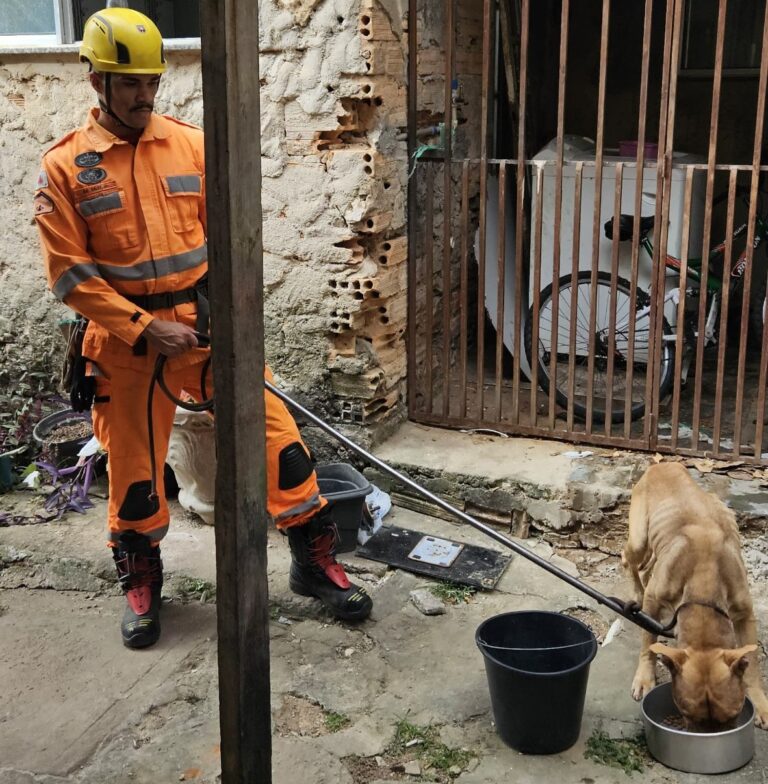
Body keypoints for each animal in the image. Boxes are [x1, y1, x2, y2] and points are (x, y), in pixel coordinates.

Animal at [624, 460, 768, 728]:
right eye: (686, 713)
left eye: (733, 714)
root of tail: (661, 464)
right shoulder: (654, 601)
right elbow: (648, 642)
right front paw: (645, 678)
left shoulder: (745, 614)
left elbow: (753, 662)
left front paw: (761, 703)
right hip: (638, 539)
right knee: (628, 560)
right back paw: (636, 591)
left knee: (646, 568)